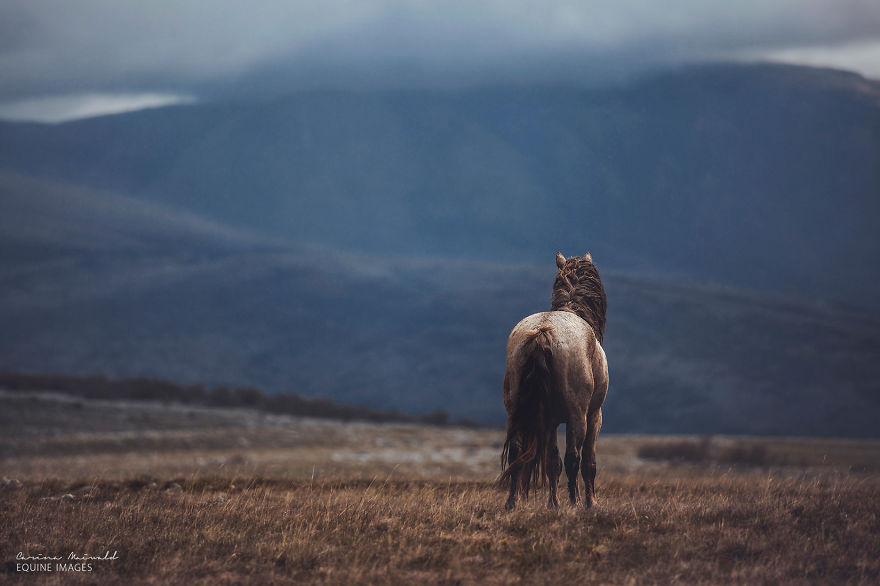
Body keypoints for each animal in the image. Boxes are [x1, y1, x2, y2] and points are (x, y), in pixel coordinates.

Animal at [500, 251, 609, 510]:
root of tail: (542, 332)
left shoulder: (549, 421)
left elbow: (552, 462)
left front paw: (553, 504)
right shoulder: (594, 414)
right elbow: (587, 462)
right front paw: (590, 503)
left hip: (516, 412)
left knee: (517, 451)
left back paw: (512, 502)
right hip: (578, 415)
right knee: (573, 457)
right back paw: (575, 503)